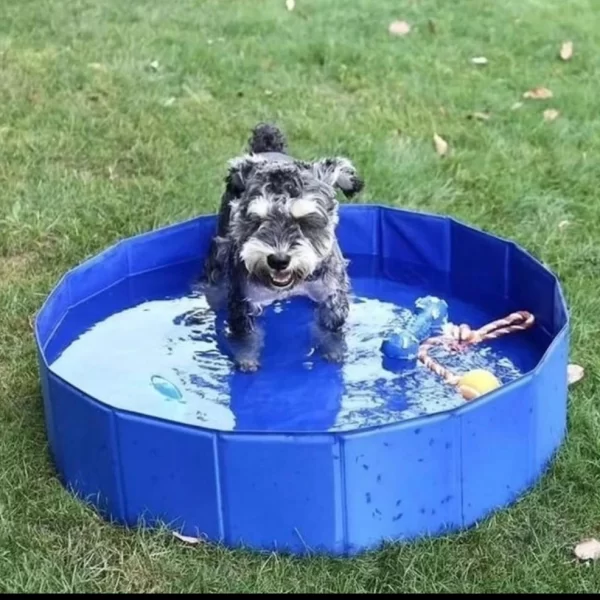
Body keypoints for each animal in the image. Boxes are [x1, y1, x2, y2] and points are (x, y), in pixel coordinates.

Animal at [204, 122, 364, 370]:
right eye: (256, 220)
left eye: (305, 221)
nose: (278, 260)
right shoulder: (244, 300)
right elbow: (245, 336)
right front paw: (246, 359)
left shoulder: (332, 295)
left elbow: (331, 329)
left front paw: (334, 351)